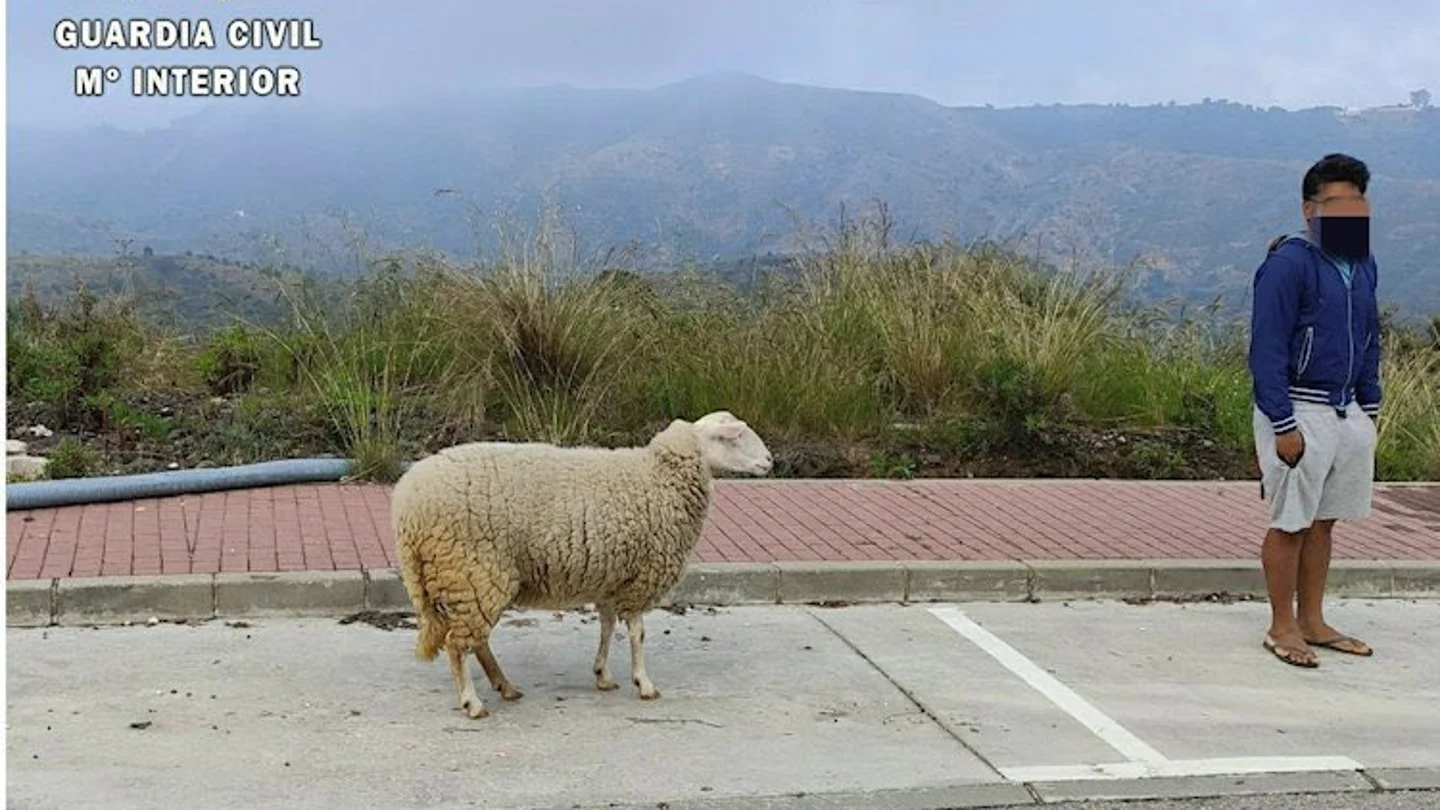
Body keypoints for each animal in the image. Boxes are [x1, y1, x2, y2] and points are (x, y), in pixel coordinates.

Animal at [390, 410, 773, 719]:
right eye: (735, 436)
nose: (771, 461)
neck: (659, 476)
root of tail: (407, 507)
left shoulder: (612, 577)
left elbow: (606, 627)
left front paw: (603, 675)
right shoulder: (641, 577)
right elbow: (637, 633)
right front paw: (644, 683)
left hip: (473, 578)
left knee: (476, 641)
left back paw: (505, 686)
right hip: (475, 570)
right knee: (459, 645)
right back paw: (473, 703)